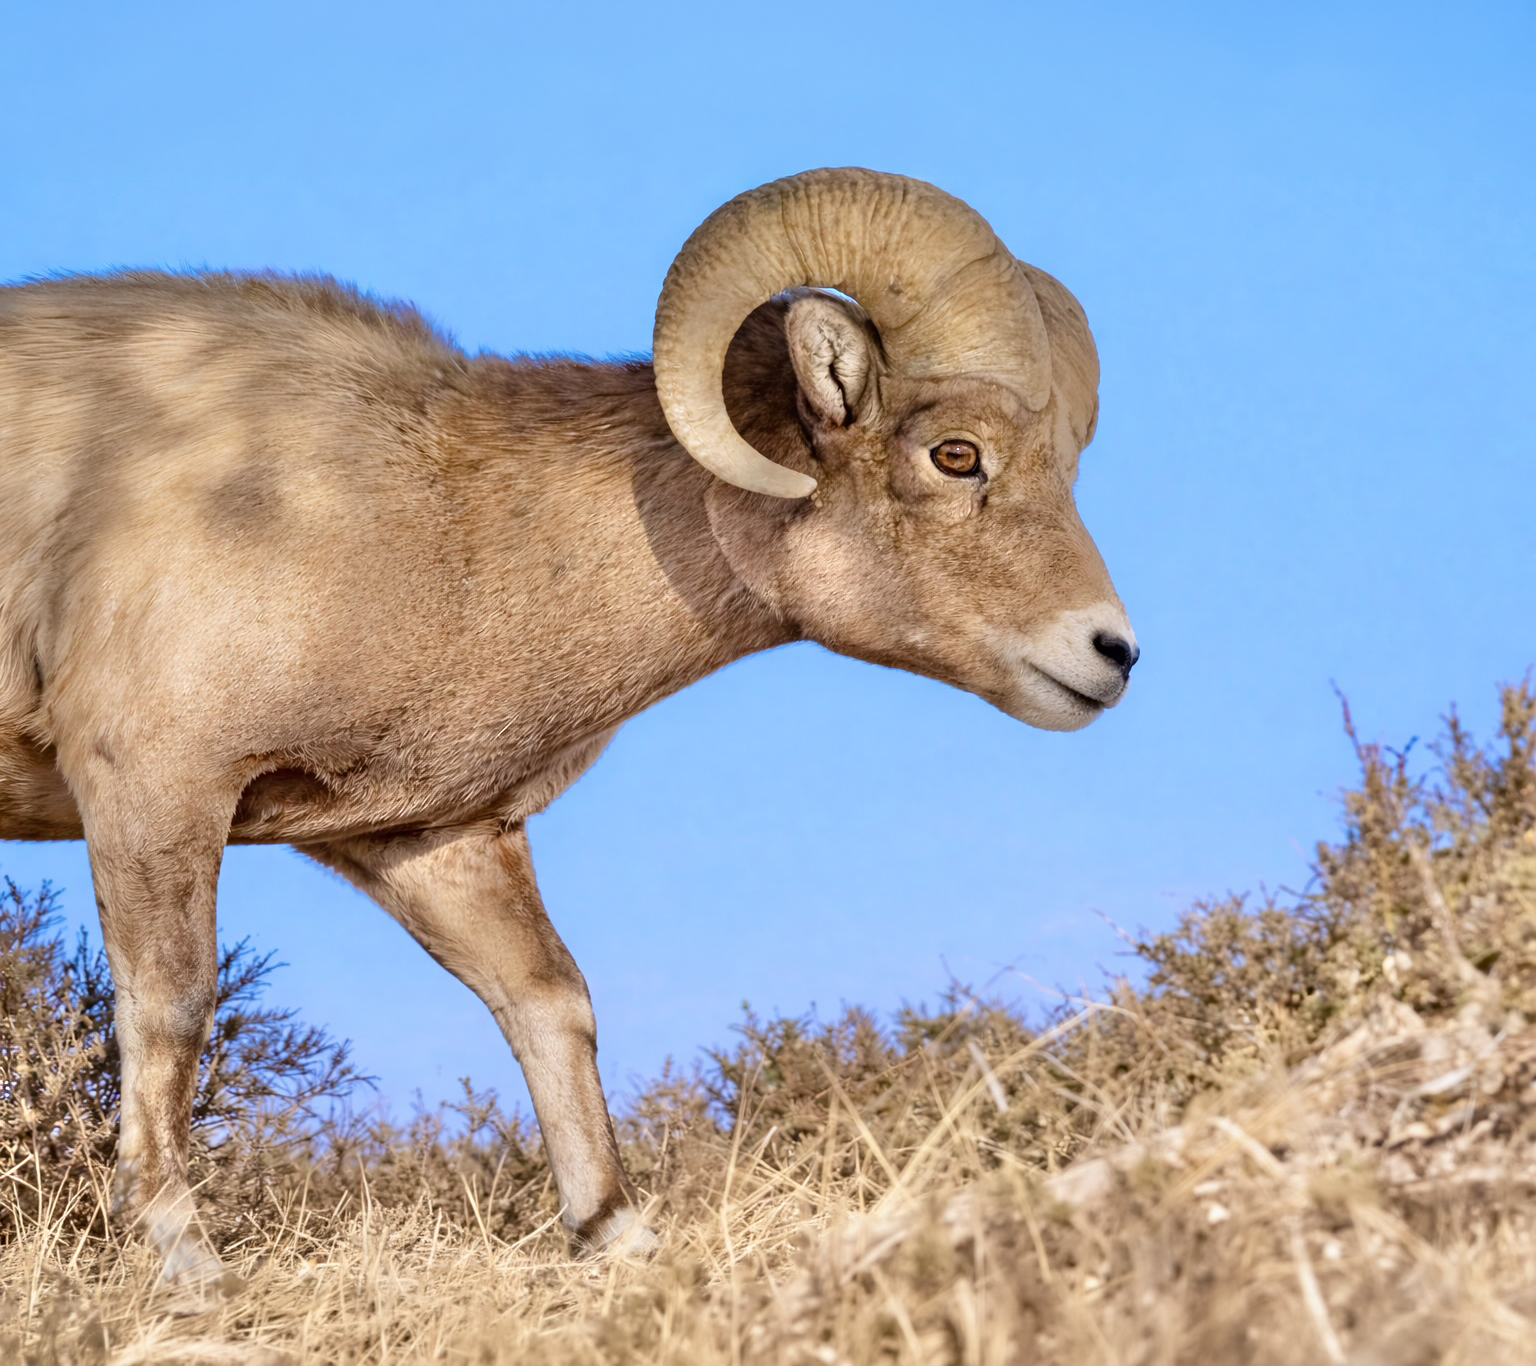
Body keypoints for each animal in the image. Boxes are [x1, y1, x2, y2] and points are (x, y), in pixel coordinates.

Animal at [0, 167, 1137, 1294]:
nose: (1111, 654)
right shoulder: (156, 790)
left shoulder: (429, 844)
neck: (430, 524)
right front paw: (183, 1255)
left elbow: (552, 1005)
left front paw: (617, 1235)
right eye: (957, 454)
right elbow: (173, 1007)